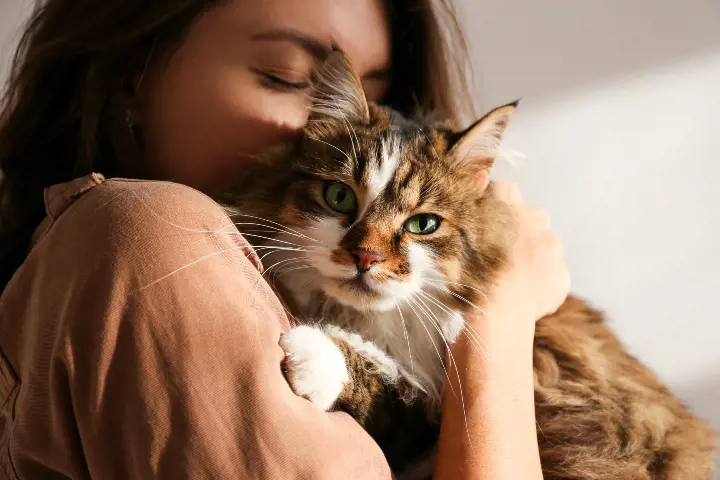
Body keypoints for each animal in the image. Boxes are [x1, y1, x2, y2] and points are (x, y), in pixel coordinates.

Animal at [222, 50, 716, 478]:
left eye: (423, 224)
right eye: (339, 197)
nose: (366, 257)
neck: (372, 323)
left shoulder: (433, 410)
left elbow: (387, 382)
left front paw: (314, 353)